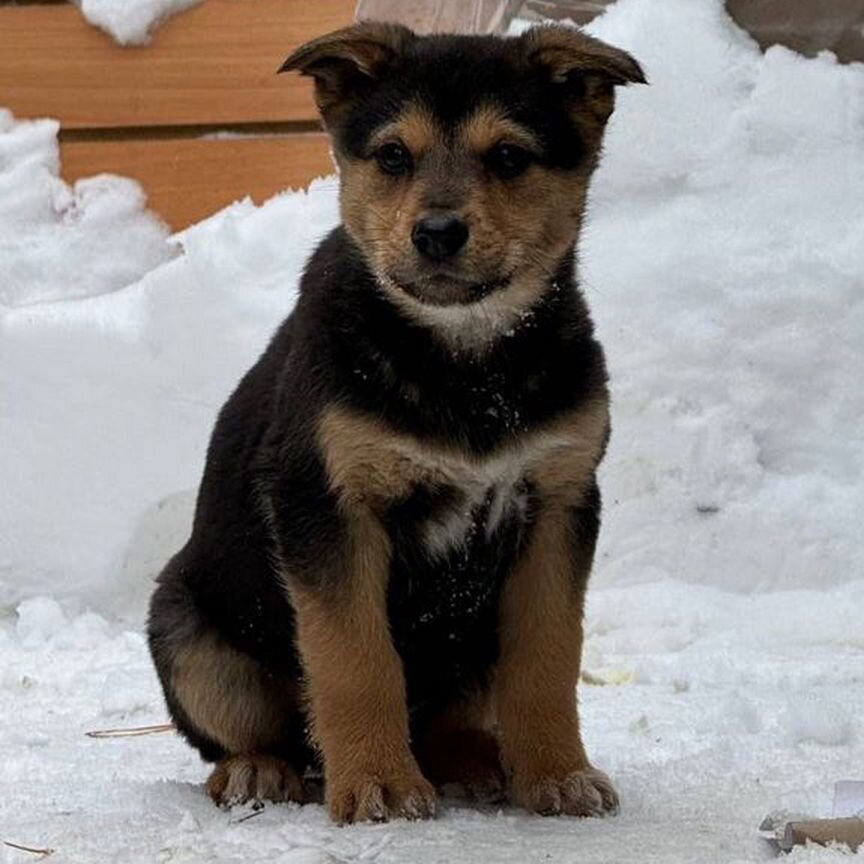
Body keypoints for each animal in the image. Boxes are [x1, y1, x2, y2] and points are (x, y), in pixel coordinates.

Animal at [148, 22, 640, 824]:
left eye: (509, 157)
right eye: (392, 157)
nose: (437, 233)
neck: (466, 365)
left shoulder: (560, 502)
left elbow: (547, 656)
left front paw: (558, 774)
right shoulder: (327, 504)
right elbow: (355, 657)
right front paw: (378, 783)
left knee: (450, 720)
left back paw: (471, 763)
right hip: (185, 630)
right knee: (250, 732)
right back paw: (260, 771)